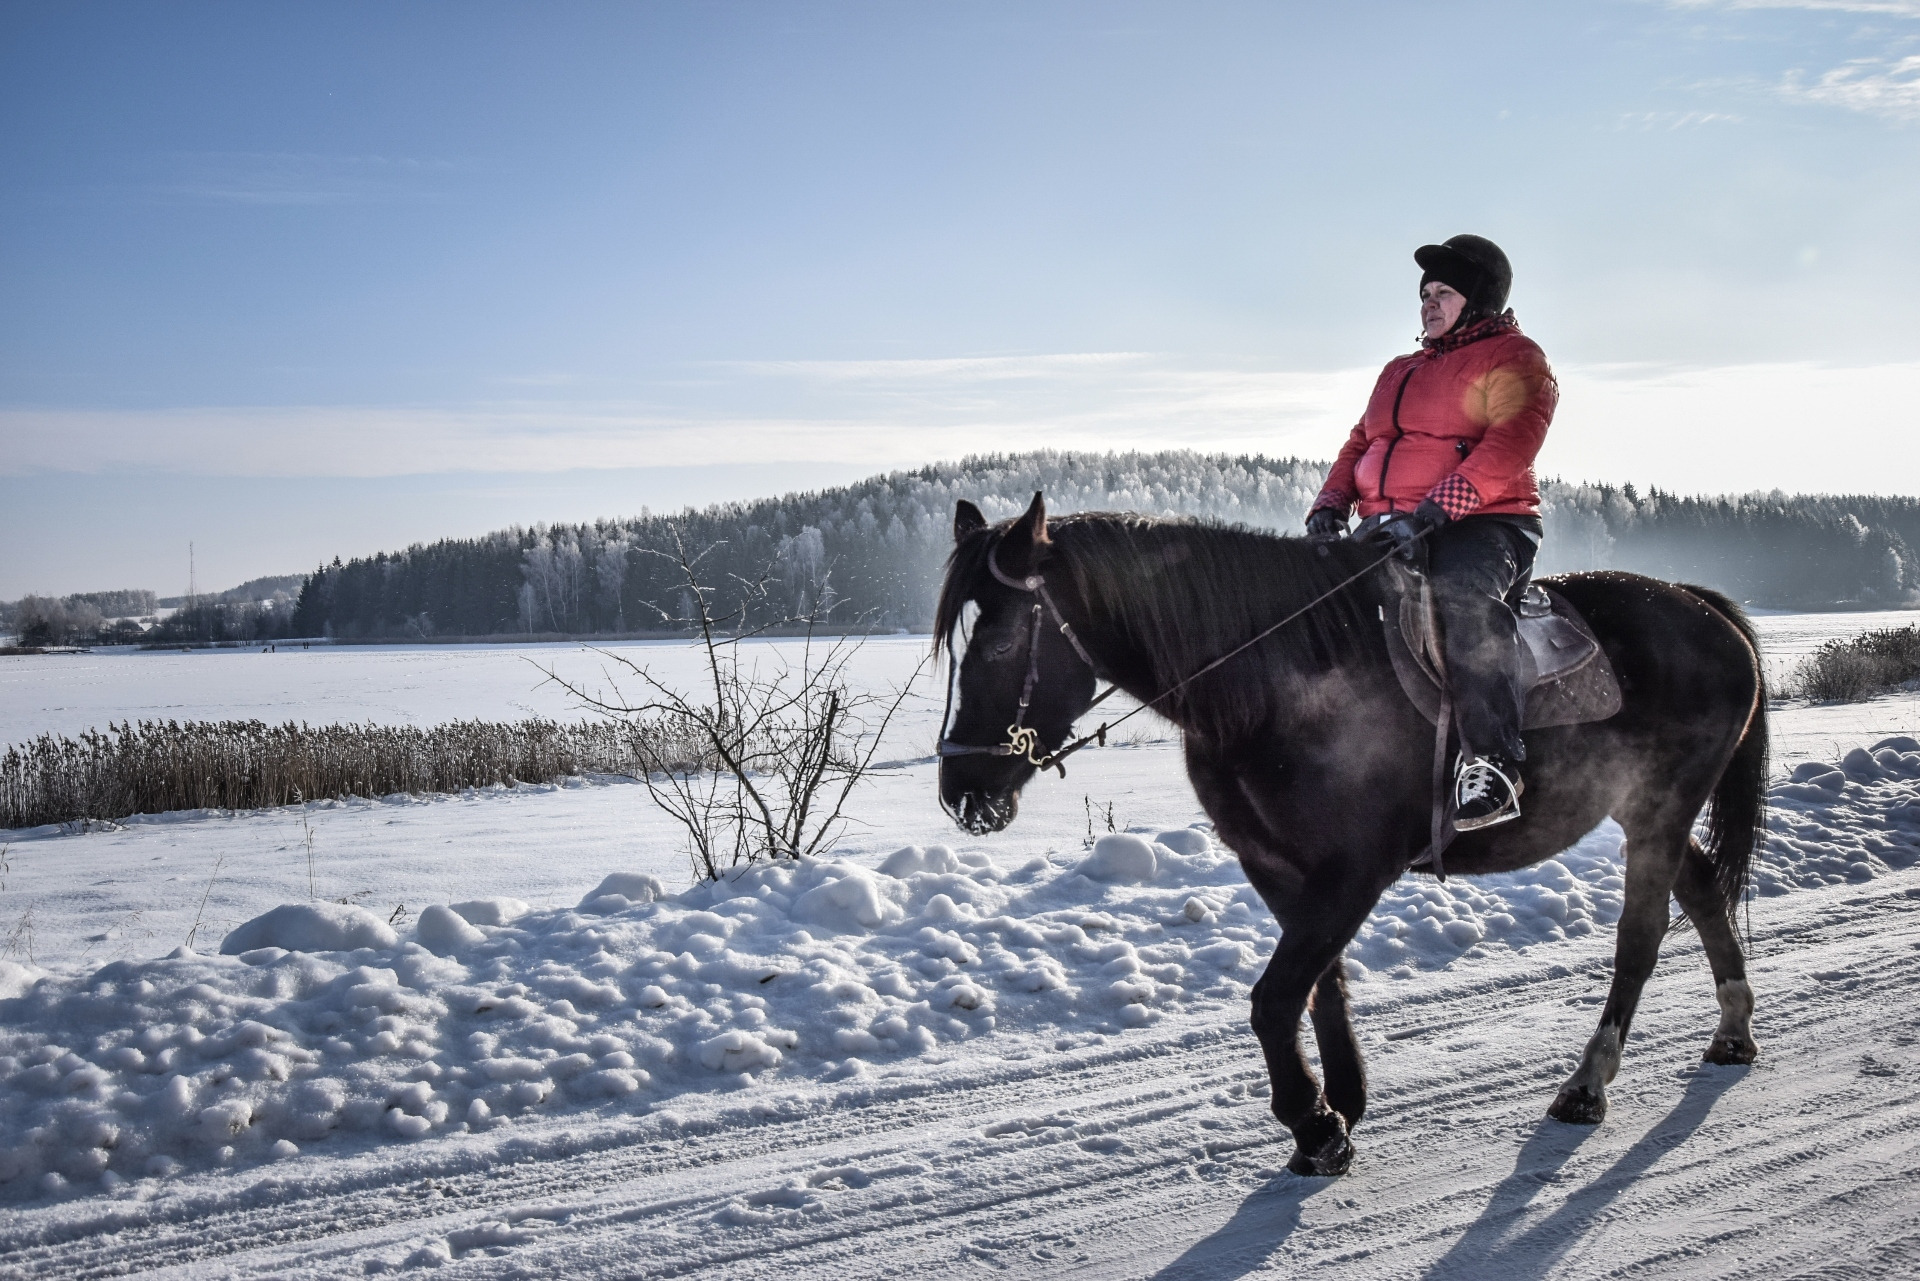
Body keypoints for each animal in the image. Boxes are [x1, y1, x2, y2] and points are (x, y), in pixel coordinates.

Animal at [936, 495, 1758, 1175]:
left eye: (1000, 642)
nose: (960, 790)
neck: (1276, 683)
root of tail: (1701, 607)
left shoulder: (1355, 870)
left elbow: (1274, 998)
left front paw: (1313, 1122)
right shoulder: (1277, 867)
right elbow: (1318, 984)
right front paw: (1342, 1103)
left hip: (1661, 805)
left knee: (1640, 934)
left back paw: (1587, 1083)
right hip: (1645, 808)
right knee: (1702, 888)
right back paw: (1732, 1030)